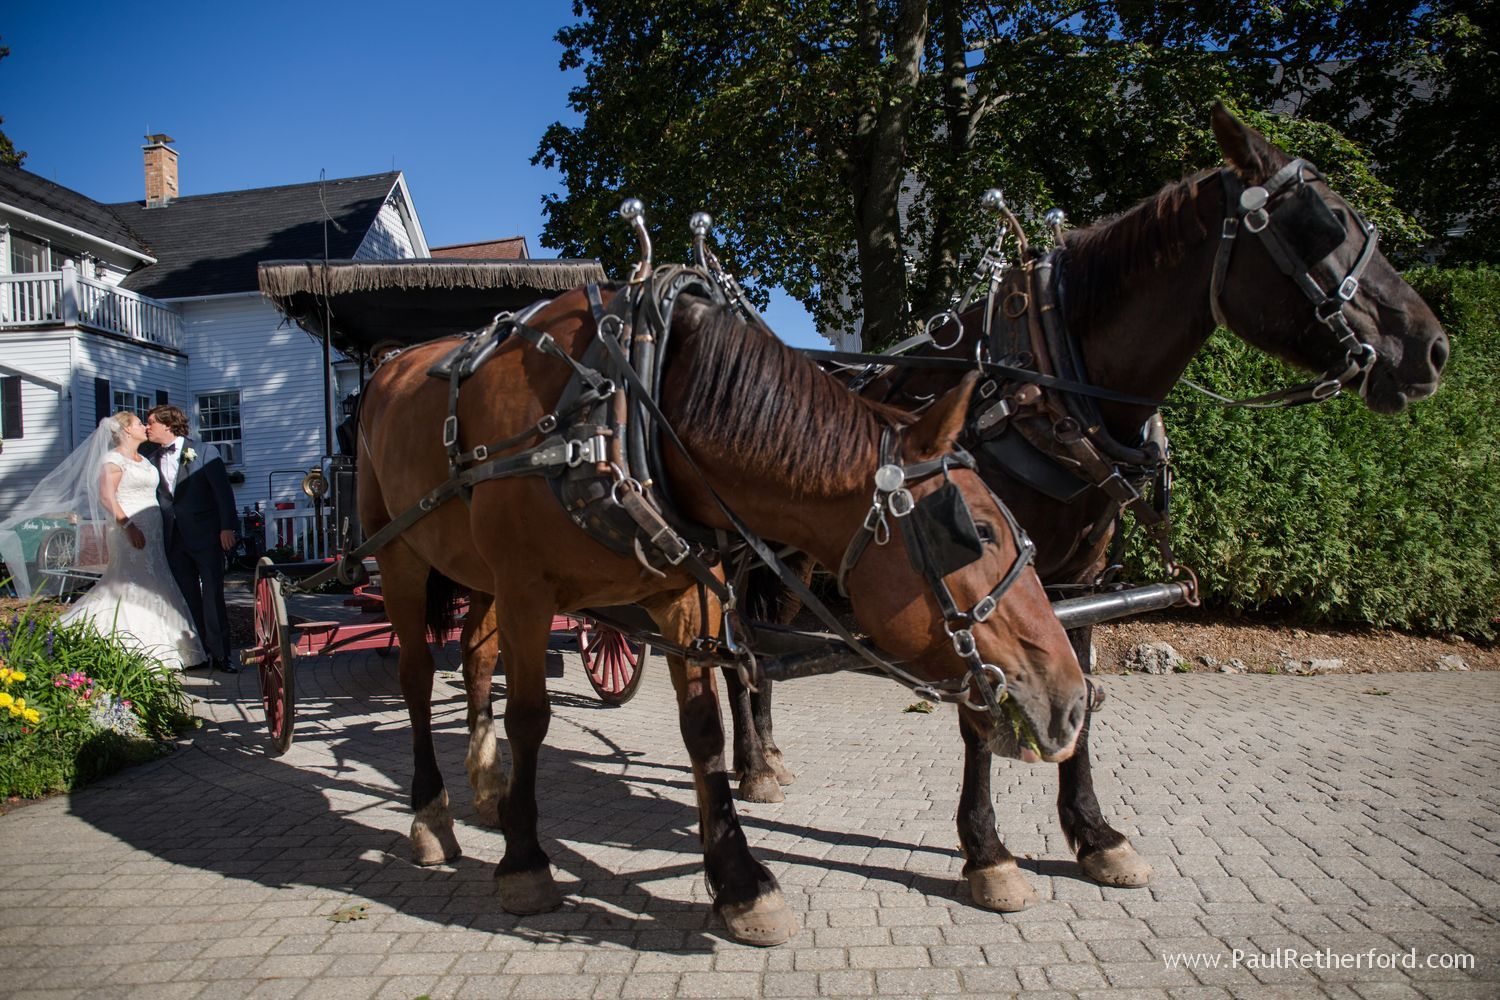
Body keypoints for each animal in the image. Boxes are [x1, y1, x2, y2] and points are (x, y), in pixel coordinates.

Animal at [354, 276, 1088, 945]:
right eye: (978, 531)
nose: (1075, 700)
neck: (621, 408)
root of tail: (391, 362)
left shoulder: (686, 592)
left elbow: (703, 728)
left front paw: (741, 883)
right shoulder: (527, 591)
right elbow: (531, 718)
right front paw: (526, 863)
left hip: (475, 574)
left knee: (477, 660)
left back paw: (485, 787)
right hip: (399, 557)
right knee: (418, 680)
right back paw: (432, 816)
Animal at [722, 103, 1449, 910]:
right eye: (1324, 223)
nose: (1431, 349)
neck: (1043, 389)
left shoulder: (1077, 582)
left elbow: (1086, 694)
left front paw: (1096, 835)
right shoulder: (973, 585)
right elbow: (980, 712)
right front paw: (988, 853)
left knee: (756, 650)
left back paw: (767, 753)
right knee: (730, 652)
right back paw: (750, 763)